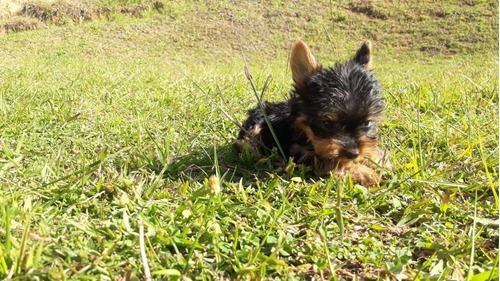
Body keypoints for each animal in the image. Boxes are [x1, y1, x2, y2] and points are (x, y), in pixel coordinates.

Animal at [234, 39, 390, 184]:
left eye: (367, 123)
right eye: (327, 123)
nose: (354, 154)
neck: (305, 132)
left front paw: (378, 158)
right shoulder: (301, 154)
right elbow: (332, 162)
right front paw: (365, 172)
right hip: (255, 126)